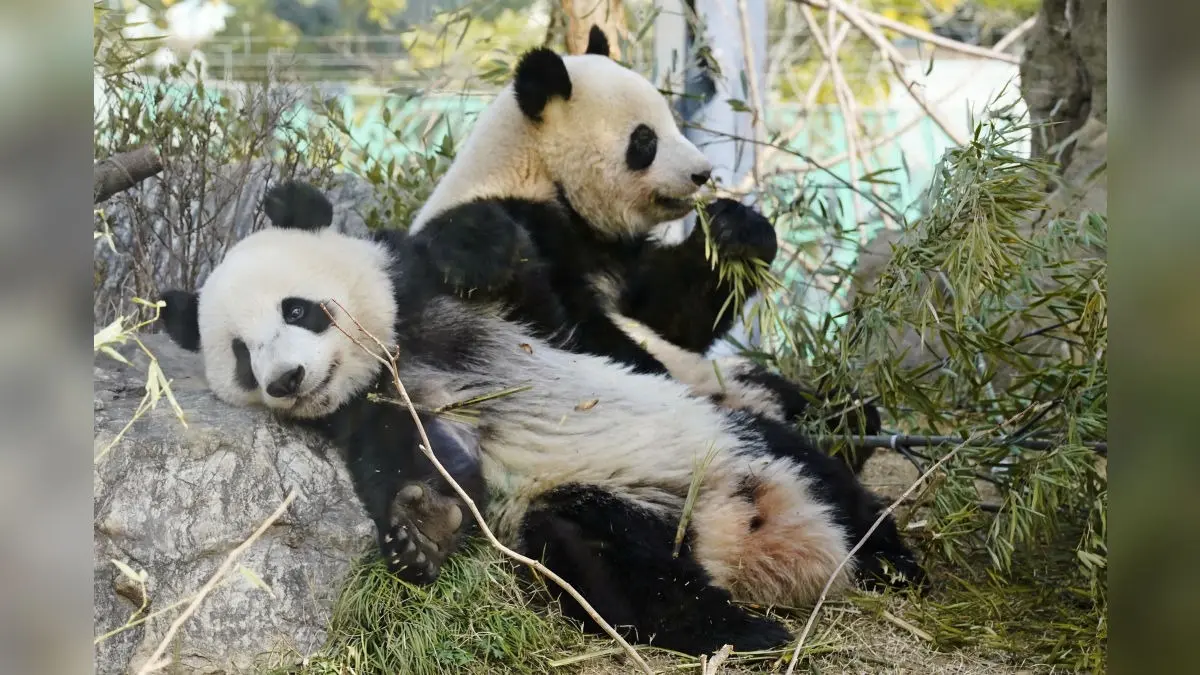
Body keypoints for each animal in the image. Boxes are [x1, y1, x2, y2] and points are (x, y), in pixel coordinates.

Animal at [155, 182, 925, 657]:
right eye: (241, 355)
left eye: (298, 309)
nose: (286, 380)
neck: (397, 354)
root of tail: (744, 535)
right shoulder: (373, 410)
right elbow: (418, 462)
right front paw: (420, 528)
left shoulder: (471, 310)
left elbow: (566, 317)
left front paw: (471, 241)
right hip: (610, 508)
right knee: (612, 564)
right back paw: (738, 630)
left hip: (733, 439)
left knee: (827, 480)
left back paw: (892, 568)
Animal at [404, 27, 881, 472]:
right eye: (645, 140)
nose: (702, 173)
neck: (538, 175)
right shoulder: (522, 219)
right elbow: (556, 323)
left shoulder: (619, 254)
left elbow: (671, 316)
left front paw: (737, 230)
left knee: (812, 401)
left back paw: (846, 422)